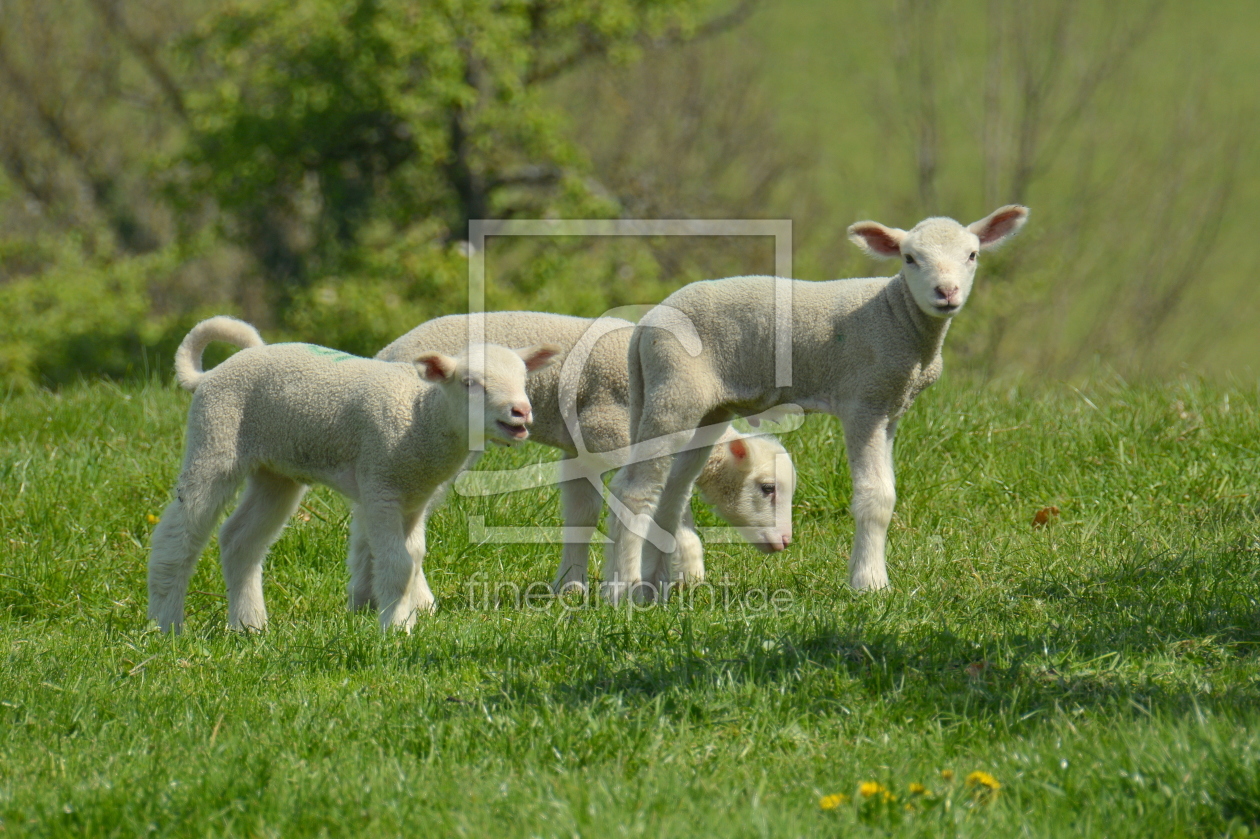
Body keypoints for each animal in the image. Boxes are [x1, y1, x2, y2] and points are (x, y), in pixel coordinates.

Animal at [146, 313, 556, 627]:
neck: (420, 415)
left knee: (240, 540)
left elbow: (412, 560)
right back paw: (166, 625)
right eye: (470, 383)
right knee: (177, 534)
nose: (521, 411)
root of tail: (210, 374)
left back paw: (250, 627)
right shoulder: (381, 486)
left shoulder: (413, 496)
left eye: (524, 379)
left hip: (275, 471)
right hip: (215, 439)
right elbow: (396, 563)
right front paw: (396, 630)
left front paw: (407, 618)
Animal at [367, 312, 796, 594]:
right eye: (767, 488)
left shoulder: (579, 455)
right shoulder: (606, 434)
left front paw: (570, 586)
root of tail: (384, 353)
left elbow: (582, 516)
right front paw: (683, 571)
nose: (785, 543)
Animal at [609, 202, 1033, 602]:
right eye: (910, 258)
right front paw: (870, 583)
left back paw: (657, 585)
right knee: (633, 491)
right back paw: (623, 590)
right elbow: (876, 496)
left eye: (972, 255)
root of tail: (645, 325)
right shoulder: (864, 400)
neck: (895, 315)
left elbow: (888, 489)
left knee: (671, 495)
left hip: (705, 409)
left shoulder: (890, 408)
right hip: (674, 393)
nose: (946, 293)